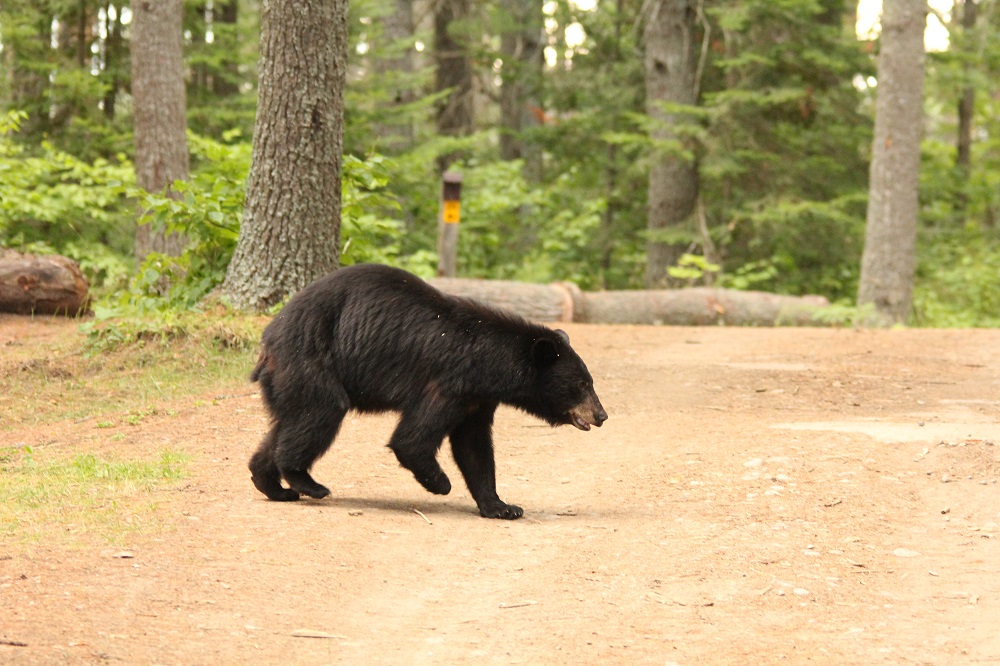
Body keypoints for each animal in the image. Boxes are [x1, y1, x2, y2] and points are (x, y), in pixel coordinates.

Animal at [248, 262, 608, 516]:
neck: (487, 362)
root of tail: (268, 339)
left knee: (288, 424)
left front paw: (502, 506)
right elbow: (413, 438)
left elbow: (474, 447)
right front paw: (441, 483)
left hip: (290, 378)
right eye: (581, 384)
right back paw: (307, 482)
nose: (602, 414)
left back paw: (272, 484)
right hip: (312, 360)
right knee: (320, 413)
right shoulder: (448, 382)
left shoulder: (478, 399)